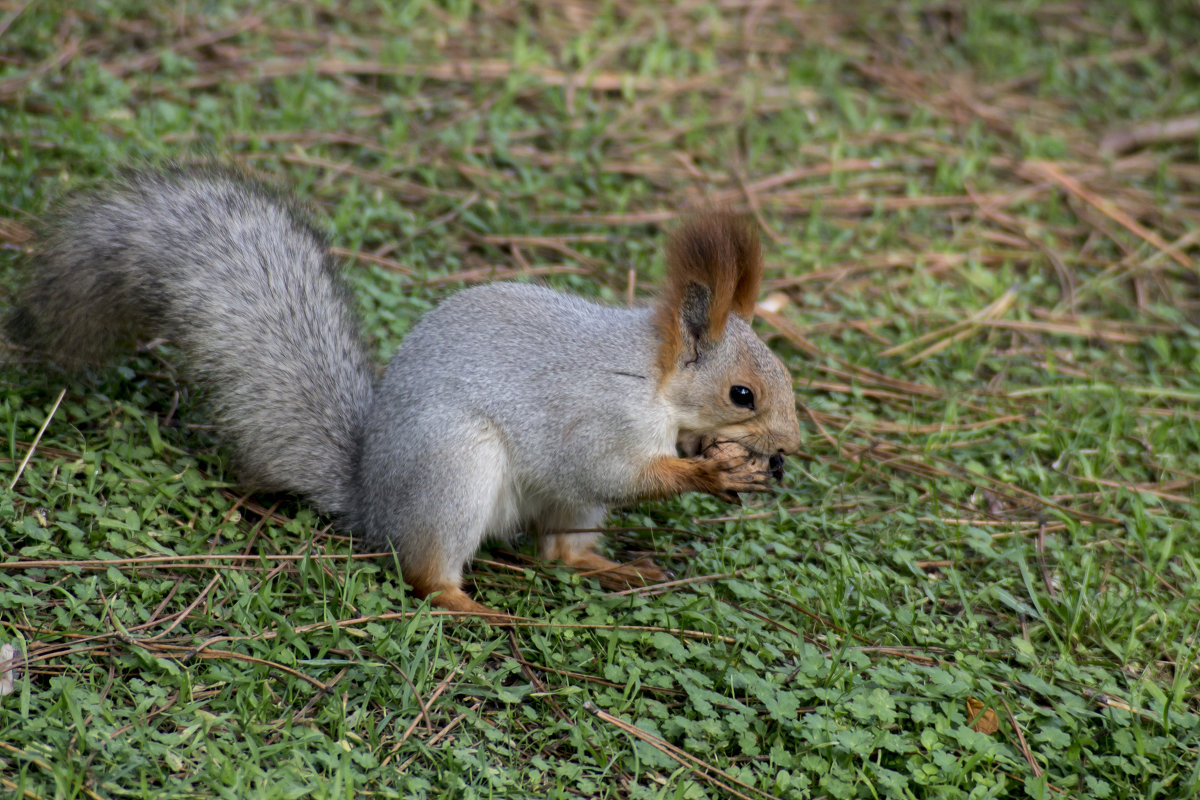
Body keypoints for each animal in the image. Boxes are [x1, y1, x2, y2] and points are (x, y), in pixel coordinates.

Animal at [9, 165, 801, 618]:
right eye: (743, 395)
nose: (790, 450)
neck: (652, 380)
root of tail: (372, 498)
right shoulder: (596, 420)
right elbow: (605, 467)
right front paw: (708, 472)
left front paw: (722, 465)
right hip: (455, 468)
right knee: (426, 575)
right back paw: (475, 608)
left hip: (556, 507)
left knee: (560, 553)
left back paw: (615, 568)